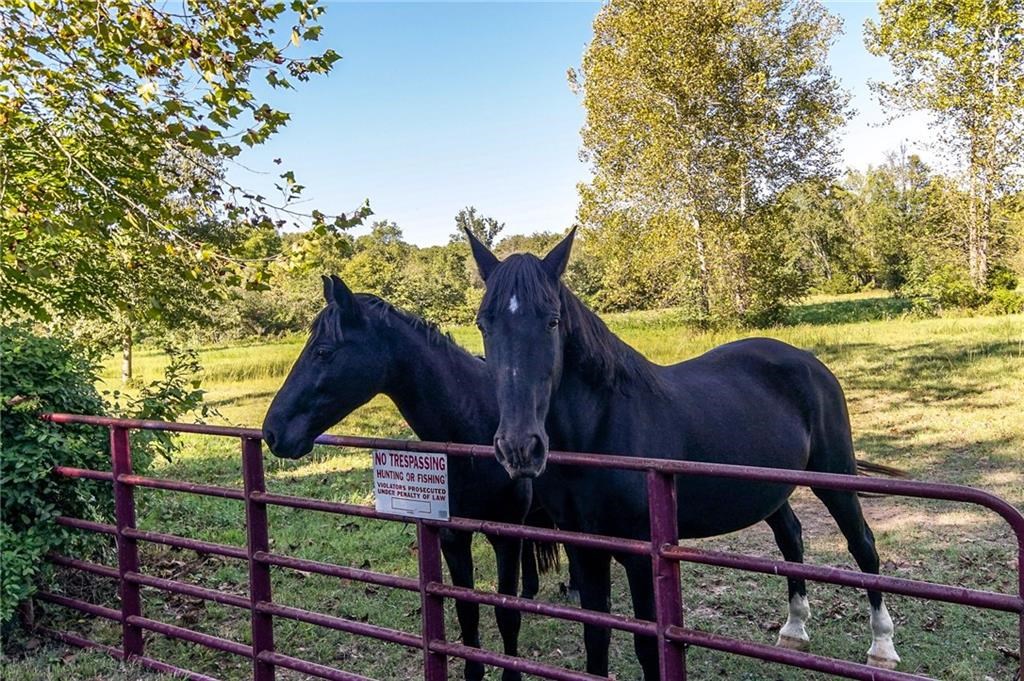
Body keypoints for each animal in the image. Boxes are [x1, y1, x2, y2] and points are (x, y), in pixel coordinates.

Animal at [262, 275, 565, 681]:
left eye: (323, 351)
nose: (272, 431)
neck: (473, 427)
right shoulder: (453, 538)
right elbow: (467, 612)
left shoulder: (504, 536)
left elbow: (506, 615)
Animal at [465, 228, 901, 678]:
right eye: (484, 324)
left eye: (552, 321)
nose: (519, 447)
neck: (602, 427)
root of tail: (808, 361)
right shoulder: (584, 550)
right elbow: (595, 638)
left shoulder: (642, 558)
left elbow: (647, 647)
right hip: (770, 488)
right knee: (791, 539)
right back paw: (794, 630)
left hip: (835, 477)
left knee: (863, 546)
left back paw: (882, 648)